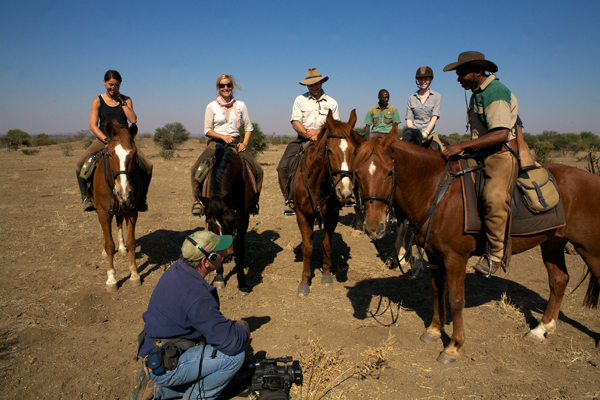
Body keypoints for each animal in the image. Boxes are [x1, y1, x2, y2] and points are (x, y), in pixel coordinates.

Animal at [93, 120, 146, 292]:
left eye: (134, 154)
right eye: (110, 154)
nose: (124, 191)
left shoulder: (132, 209)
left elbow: (131, 242)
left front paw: (134, 275)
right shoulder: (103, 211)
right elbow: (110, 245)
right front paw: (111, 279)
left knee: (119, 223)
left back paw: (121, 248)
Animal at [199, 143, 251, 294]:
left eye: (231, 221)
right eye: (211, 225)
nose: (227, 255)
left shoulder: (243, 219)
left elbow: (240, 250)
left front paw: (242, 283)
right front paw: (219, 278)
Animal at [292, 111, 364, 296]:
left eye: (354, 151)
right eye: (329, 150)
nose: (344, 191)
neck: (317, 183)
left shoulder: (332, 215)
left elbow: (327, 245)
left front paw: (326, 274)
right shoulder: (302, 216)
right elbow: (306, 248)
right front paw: (304, 282)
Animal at [354, 127, 600, 362]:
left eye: (389, 173)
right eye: (357, 174)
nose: (373, 227)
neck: (438, 192)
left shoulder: (456, 258)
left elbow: (455, 300)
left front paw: (453, 347)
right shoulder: (434, 256)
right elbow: (436, 292)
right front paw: (433, 330)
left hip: (589, 250)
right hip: (552, 243)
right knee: (559, 280)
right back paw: (541, 329)